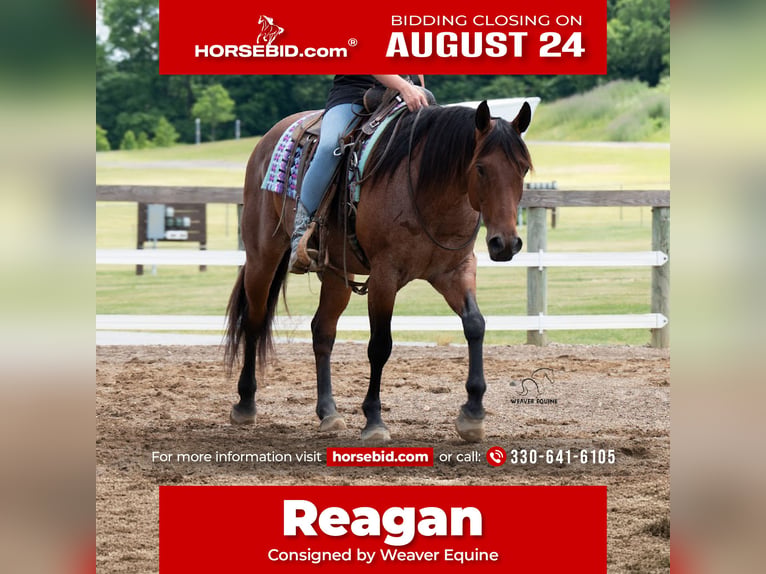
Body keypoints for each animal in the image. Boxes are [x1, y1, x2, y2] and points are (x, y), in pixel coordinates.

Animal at [224, 100, 533, 442]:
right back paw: (245, 403)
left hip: (336, 275)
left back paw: (328, 412)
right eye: (480, 168)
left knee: (323, 331)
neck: (427, 190)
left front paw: (473, 413)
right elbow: (380, 345)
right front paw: (373, 420)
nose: (506, 243)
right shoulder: (386, 276)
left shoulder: (455, 272)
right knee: (254, 320)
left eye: (522, 168)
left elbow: (475, 325)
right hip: (262, 257)